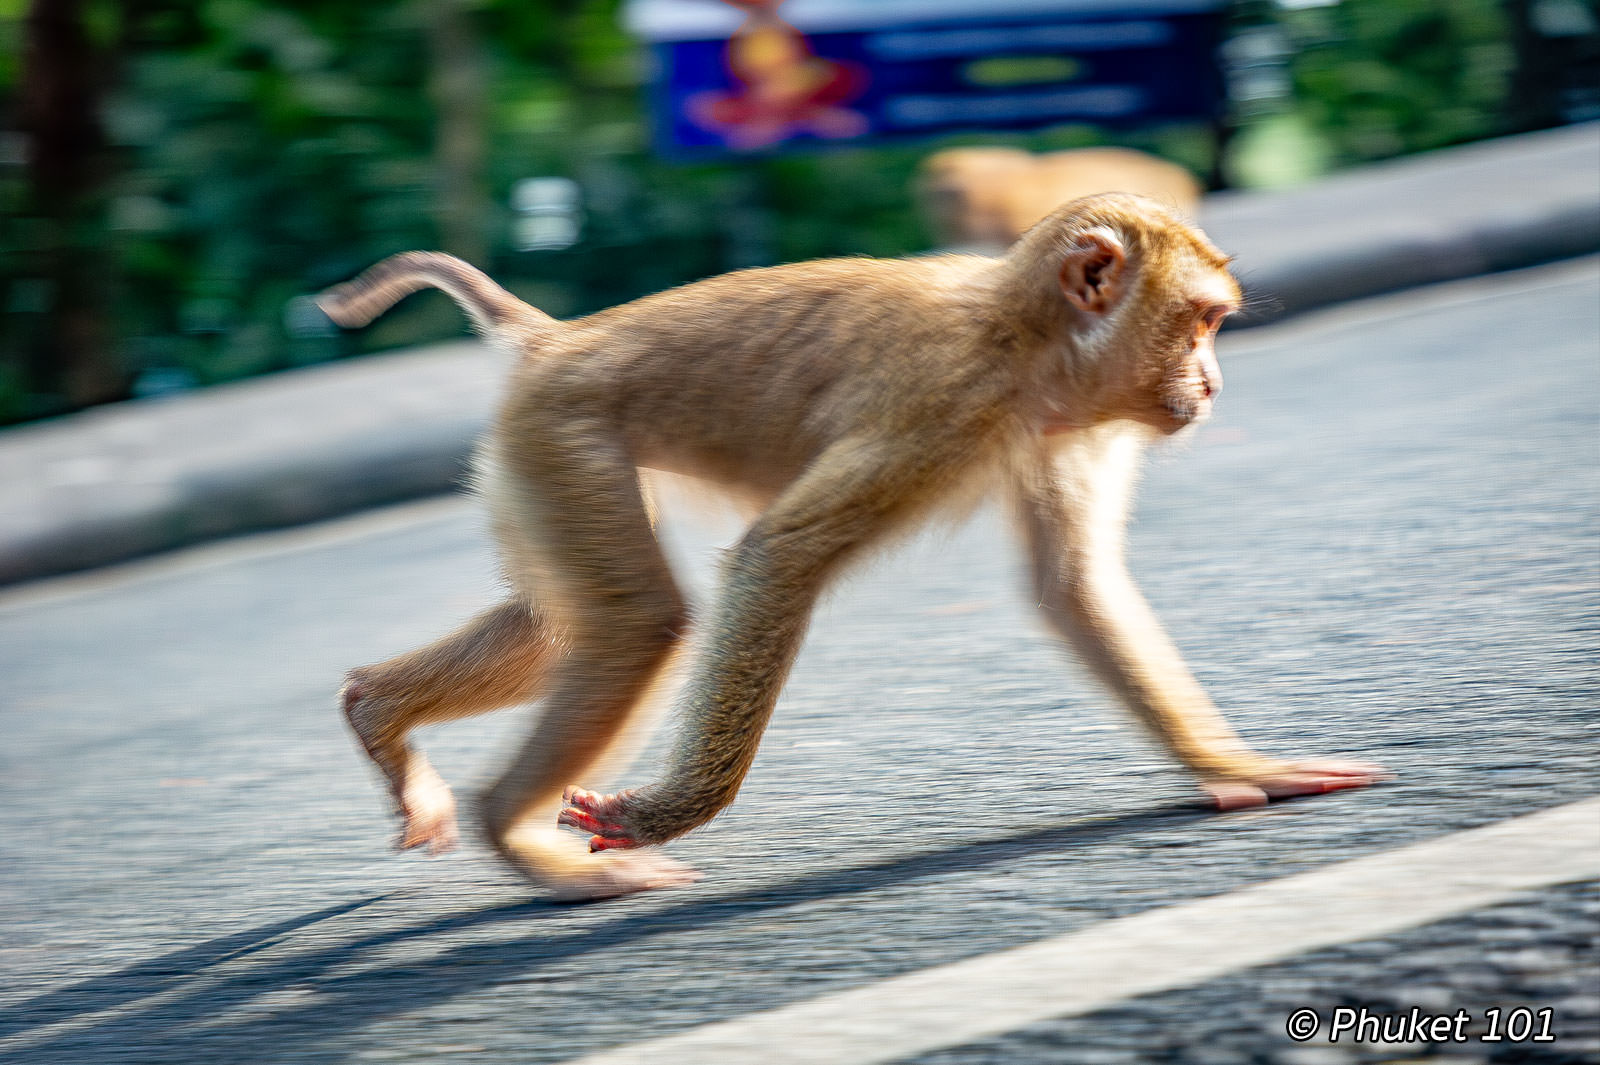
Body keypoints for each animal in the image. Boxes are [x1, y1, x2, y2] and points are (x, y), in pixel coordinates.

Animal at [322, 194, 1387, 901]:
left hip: (531, 456)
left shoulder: (1067, 430)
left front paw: (1233, 762)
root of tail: (556, 339)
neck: (1027, 341)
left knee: (565, 625)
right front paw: (668, 810)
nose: (1211, 385)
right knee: (639, 622)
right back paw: (516, 830)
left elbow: (1074, 585)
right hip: (563, 435)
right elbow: (779, 555)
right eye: (1201, 323)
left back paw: (383, 715)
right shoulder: (944, 405)